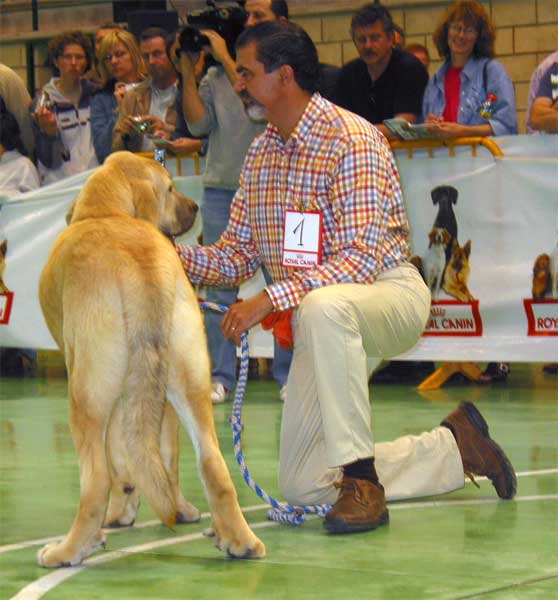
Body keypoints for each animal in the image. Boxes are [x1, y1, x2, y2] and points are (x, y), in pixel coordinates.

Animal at [38, 151, 266, 568]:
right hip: (190, 384)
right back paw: (237, 540)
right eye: (171, 189)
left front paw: (118, 514)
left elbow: (120, 462)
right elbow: (162, 459)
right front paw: (176, 508)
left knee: (95, 480)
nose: (194, 207)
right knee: (212, 464)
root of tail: (138, 262)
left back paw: (69, 549)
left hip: (86, 396)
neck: (106, 213)